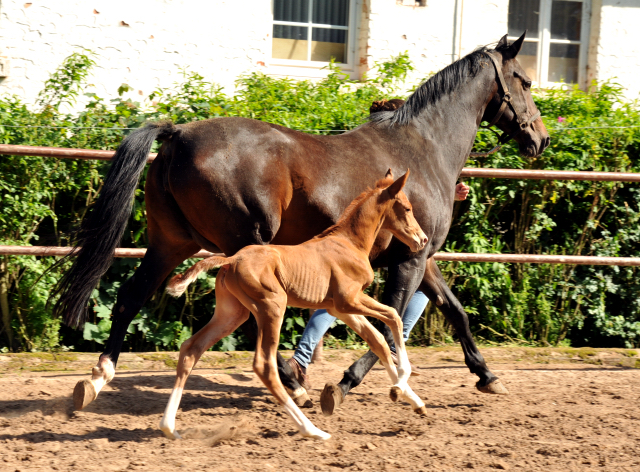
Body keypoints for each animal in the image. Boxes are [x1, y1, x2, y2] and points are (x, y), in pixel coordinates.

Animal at [159, 171, 428, 440]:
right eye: (407, 208)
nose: (422, 239)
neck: (349, 243)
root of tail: (232, 259)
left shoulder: (339, 308)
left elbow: (378, 340)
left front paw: (411, 399)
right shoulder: (349, 299)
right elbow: (393, 316)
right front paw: (402, 380)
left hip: (232, 313)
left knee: (191, 349)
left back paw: (169, 428)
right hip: (272, 307)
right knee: (264, 365)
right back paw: (312, 430)